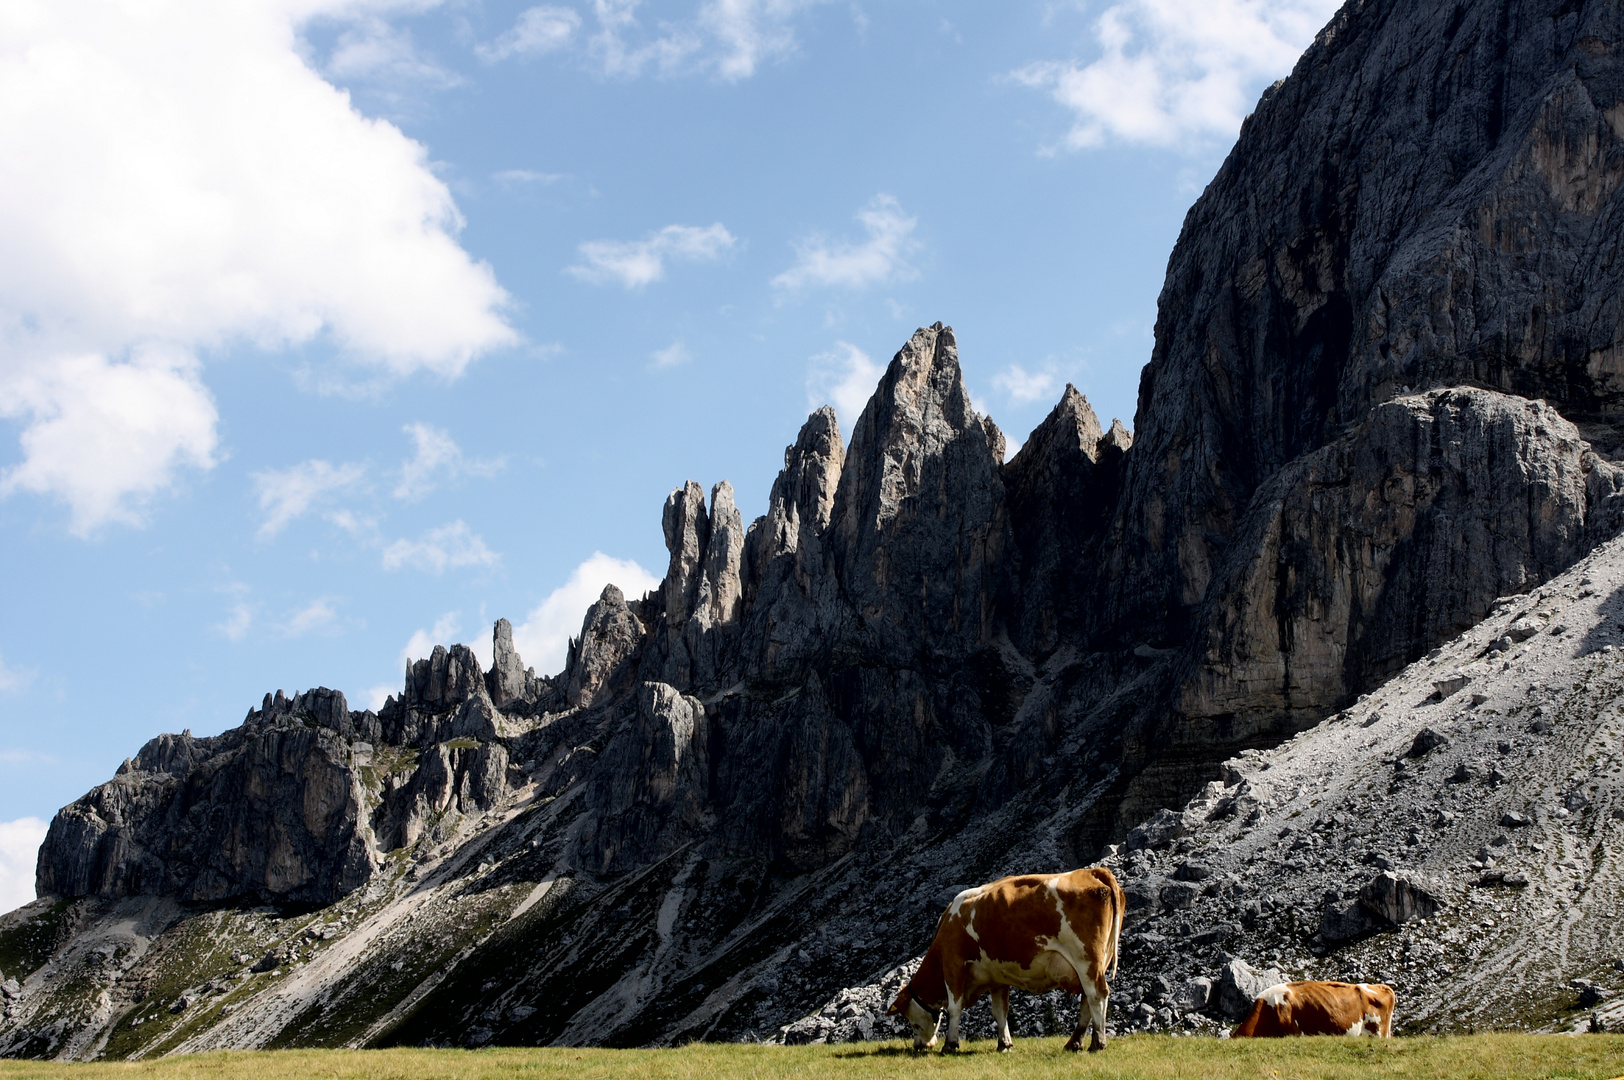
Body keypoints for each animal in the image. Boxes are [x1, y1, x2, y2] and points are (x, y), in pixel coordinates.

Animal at [889, 870, 1130, 1052]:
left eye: (912, 1022)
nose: (919, 1046)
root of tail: (1091, 872)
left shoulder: (953, 963)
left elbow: (954, 1007)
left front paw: (950, 1045)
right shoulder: (997, 977)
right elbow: (1000, 1012)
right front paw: (1004, 1044)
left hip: (1086, 959)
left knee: (1097, 995)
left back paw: (1098, 1043)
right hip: (1097, 962)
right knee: (1087, 1000)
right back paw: (1075, 1042)